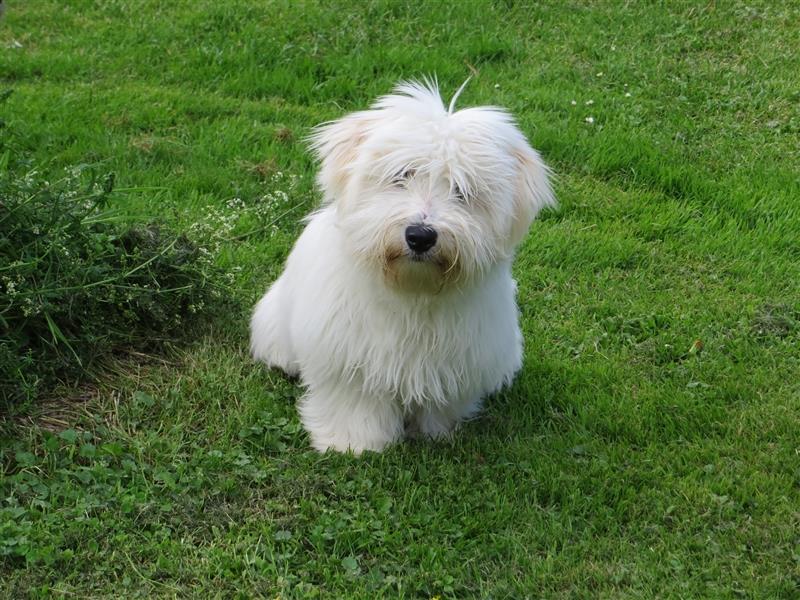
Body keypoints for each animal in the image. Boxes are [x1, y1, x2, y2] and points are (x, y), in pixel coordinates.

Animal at [252, 81, 556, 454]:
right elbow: (354, 404)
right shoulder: (350, 360)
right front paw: (352, 443)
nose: (420, 236)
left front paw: (436, 432)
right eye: (402, 175)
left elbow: (441, 405)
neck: (412, 291)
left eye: (461, 190)